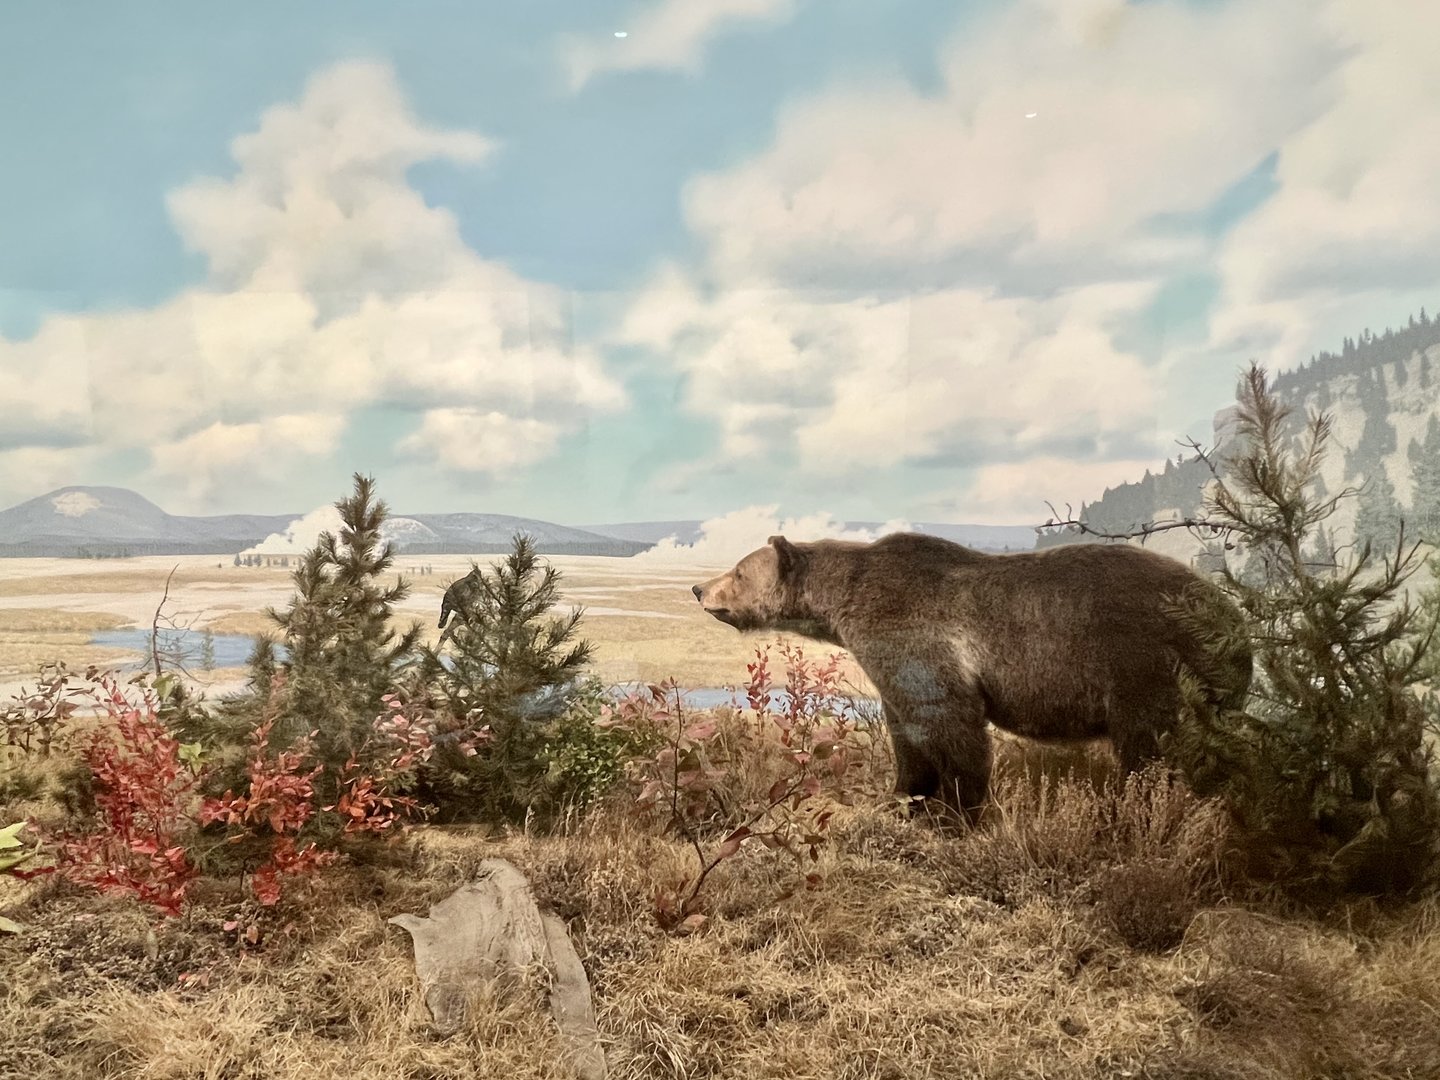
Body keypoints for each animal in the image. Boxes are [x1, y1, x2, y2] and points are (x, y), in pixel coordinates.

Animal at [691, 532, 1252, 819]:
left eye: (738, 570)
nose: (699, 588)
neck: (846, 601)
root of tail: (1235, 622)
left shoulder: (916, 636)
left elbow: (950, 722)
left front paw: (959, 808)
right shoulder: (891, 667)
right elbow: (906, 731)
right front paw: (905, 795)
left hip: (1149, 666)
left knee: (1154, 749)